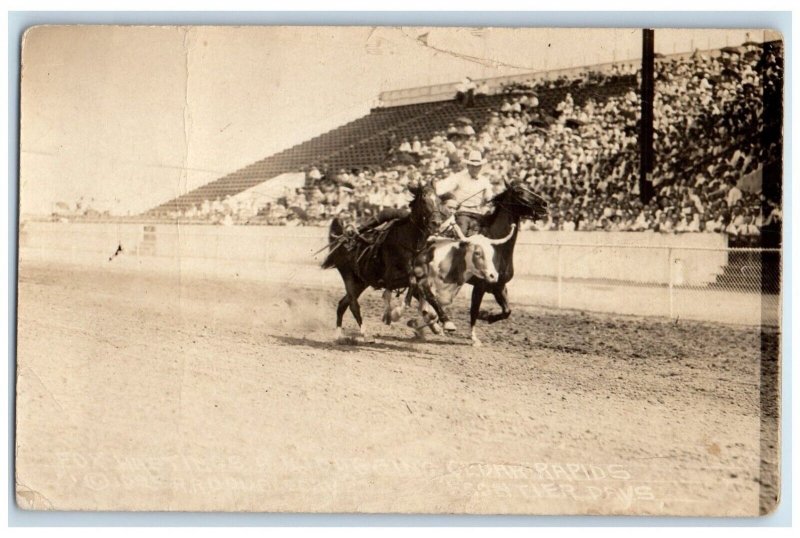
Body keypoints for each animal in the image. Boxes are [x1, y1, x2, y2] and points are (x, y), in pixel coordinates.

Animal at [320, 183, 444, 340]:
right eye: (423, 201)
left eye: (439, 200)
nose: (436, 223)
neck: (410, 245)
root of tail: (341, 242)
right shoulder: (394, 279)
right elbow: (412, 285)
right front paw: (396, 314)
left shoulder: (419, 278)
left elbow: (429, 295)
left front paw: (439, 323)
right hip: (348, 277)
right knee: (353, 304)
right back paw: (364, 333)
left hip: (361, 282)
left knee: (342, 304)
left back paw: (338, 333)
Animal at [466, 179, 548, 344]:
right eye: (519, 192)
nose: (544, 204)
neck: (496, 246)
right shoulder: (480, 285)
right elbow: (474, 310)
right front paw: (474, 338)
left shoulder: (499, 286)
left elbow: (507, 311)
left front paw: (487, 316)